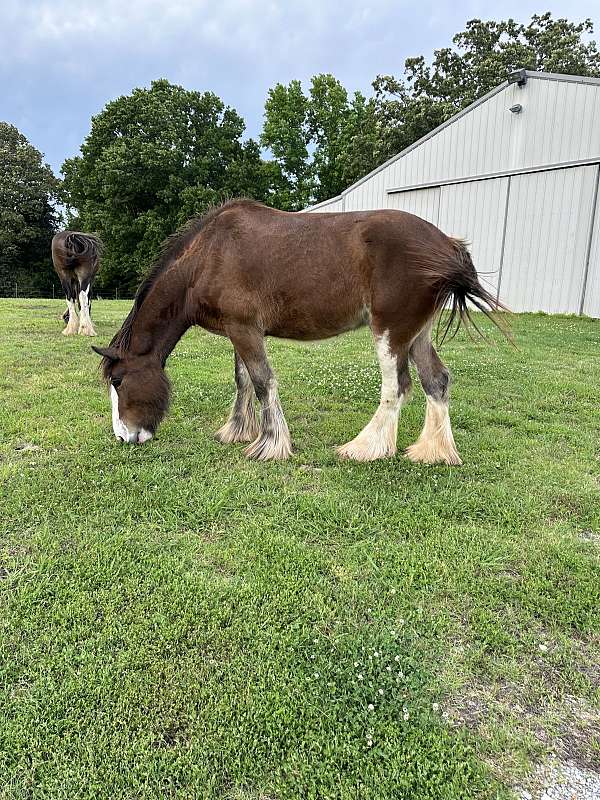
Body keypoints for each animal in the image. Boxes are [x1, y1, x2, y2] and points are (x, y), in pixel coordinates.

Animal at [94, 199, 506, 462]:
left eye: (117, 381)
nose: (124, 436)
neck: (209, 257)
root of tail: (446, 244)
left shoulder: (245, 330)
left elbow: (262, 382)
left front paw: (270, 445)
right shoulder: (240, 331)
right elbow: (243, 380)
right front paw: (238, 431)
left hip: (391, 331)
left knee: (398, 386)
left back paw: (365, 448)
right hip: (417, 333)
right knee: (436, 380)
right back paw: (432, 452)